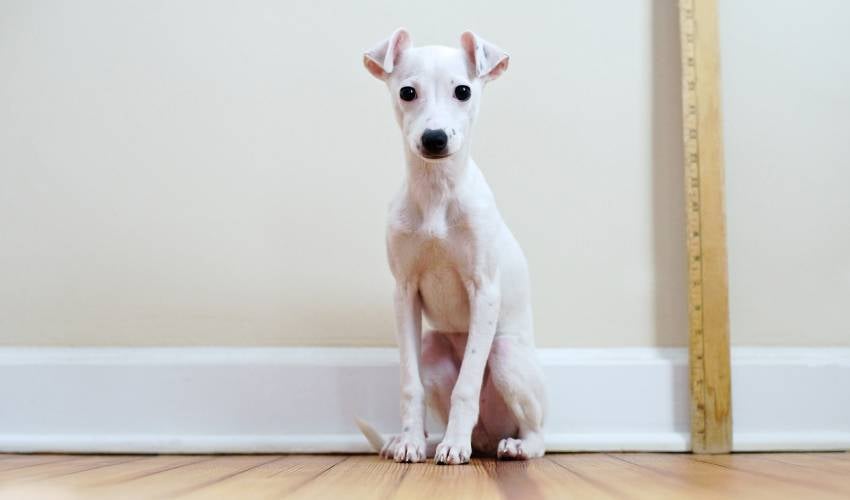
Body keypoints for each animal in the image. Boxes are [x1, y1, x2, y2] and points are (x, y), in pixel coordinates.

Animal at [358, 27, 544, 464]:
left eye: (463, 91)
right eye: (407, 92)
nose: (434, 138)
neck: (436, 194)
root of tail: (488, 437)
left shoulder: (485, 290)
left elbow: (468, 384)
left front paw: (454, 446)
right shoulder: (404, 293)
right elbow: (410, 385)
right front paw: (409, 441)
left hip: (506, 355)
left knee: (538, 435)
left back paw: (505, 445)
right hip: (431, 350)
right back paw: (429, 441)